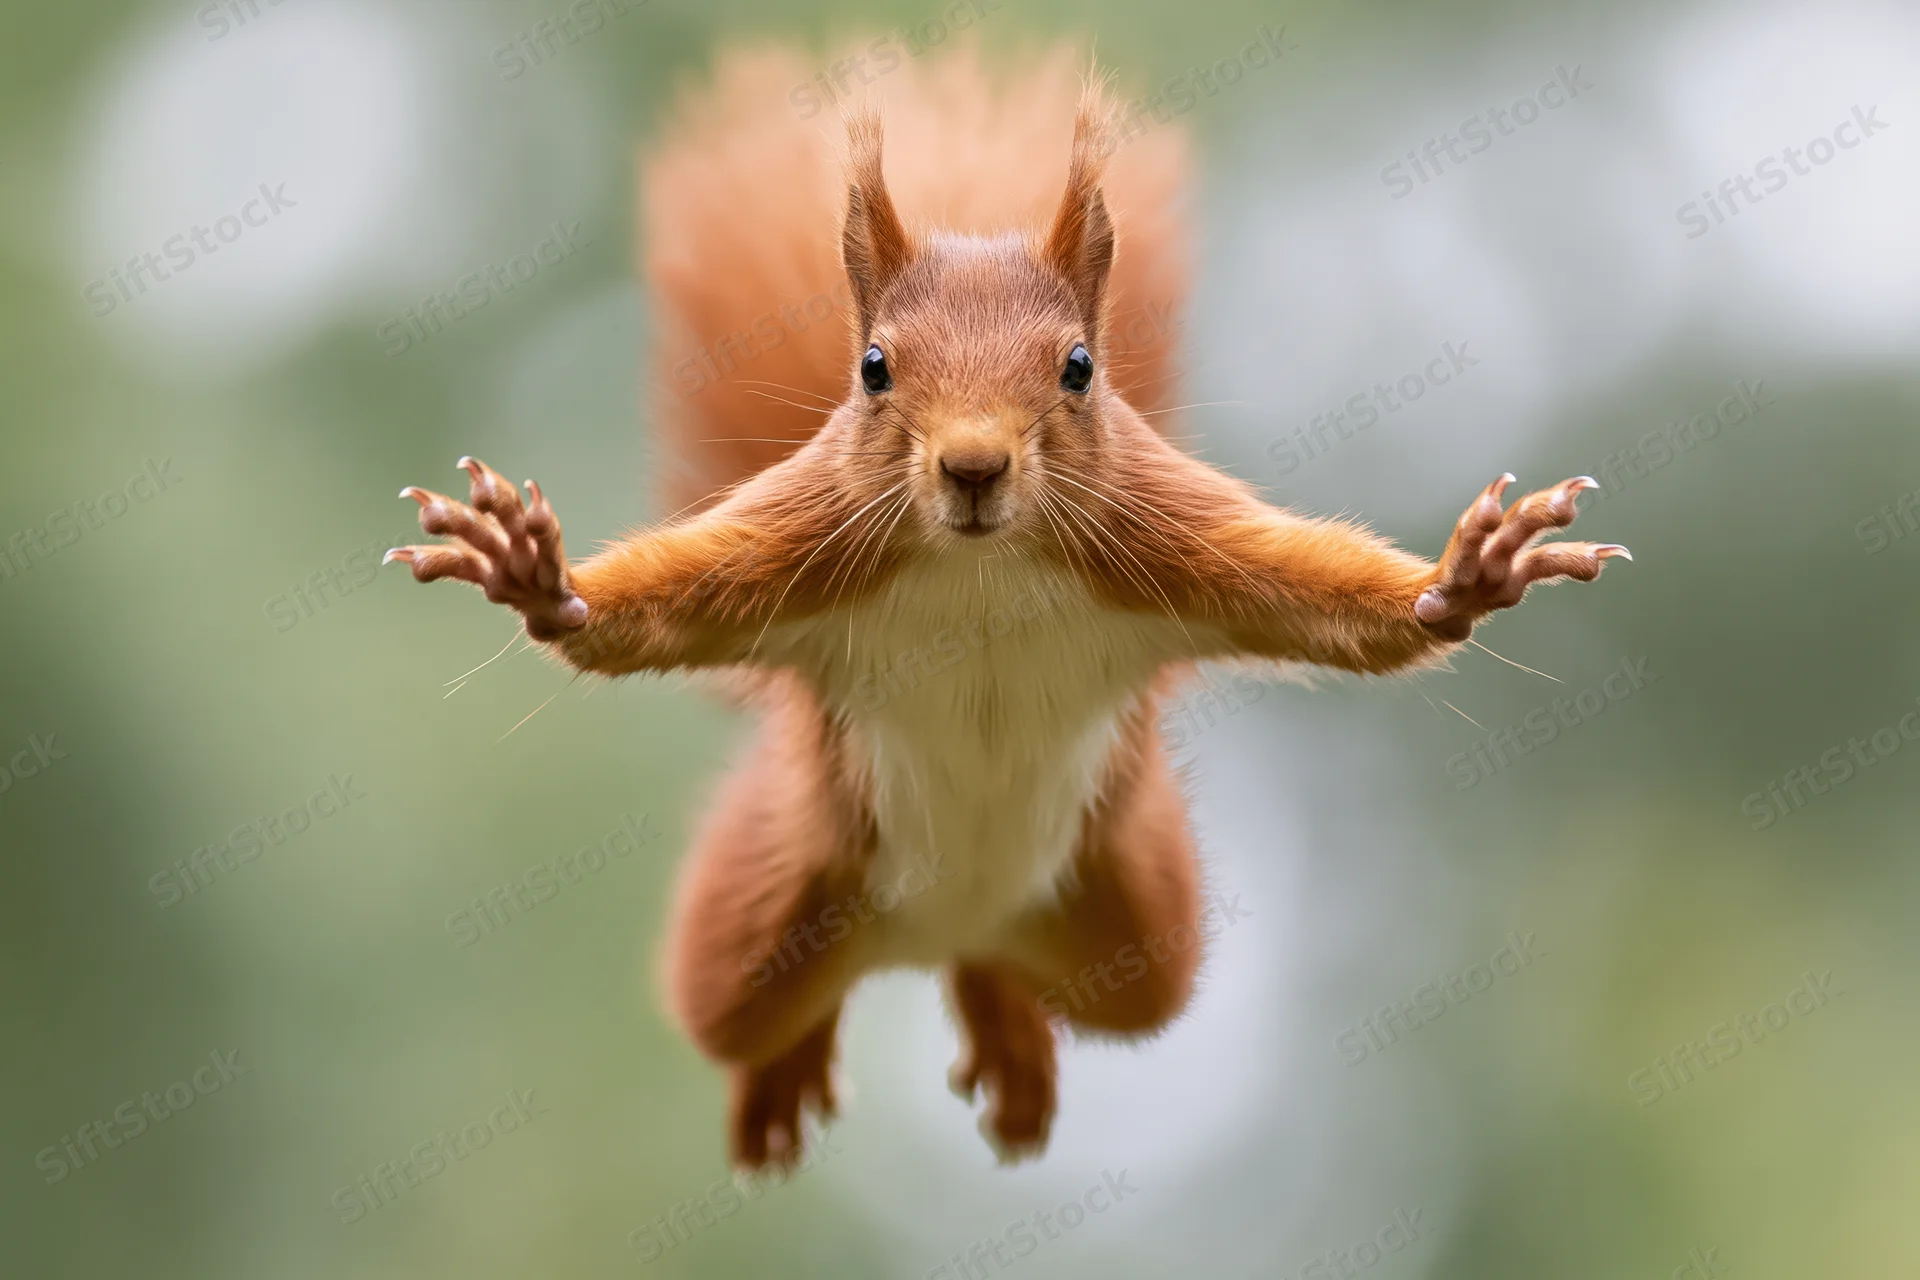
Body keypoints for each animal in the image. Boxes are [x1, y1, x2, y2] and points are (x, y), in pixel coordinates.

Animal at [385, 46, 1627, 1171]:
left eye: (1079, 366)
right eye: (874, 367)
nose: (974, 466)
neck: (979, 565)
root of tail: (941, 921)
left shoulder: (1162, 534)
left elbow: (1317, 596)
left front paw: (1465, 576)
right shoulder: (805, 542)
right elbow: (667, 602)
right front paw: (537, 576)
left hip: (1131, 923)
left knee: (1031, 972)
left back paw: (1007, 1037)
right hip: (768, 894)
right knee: (740, 1008)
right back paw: (782, 1077)